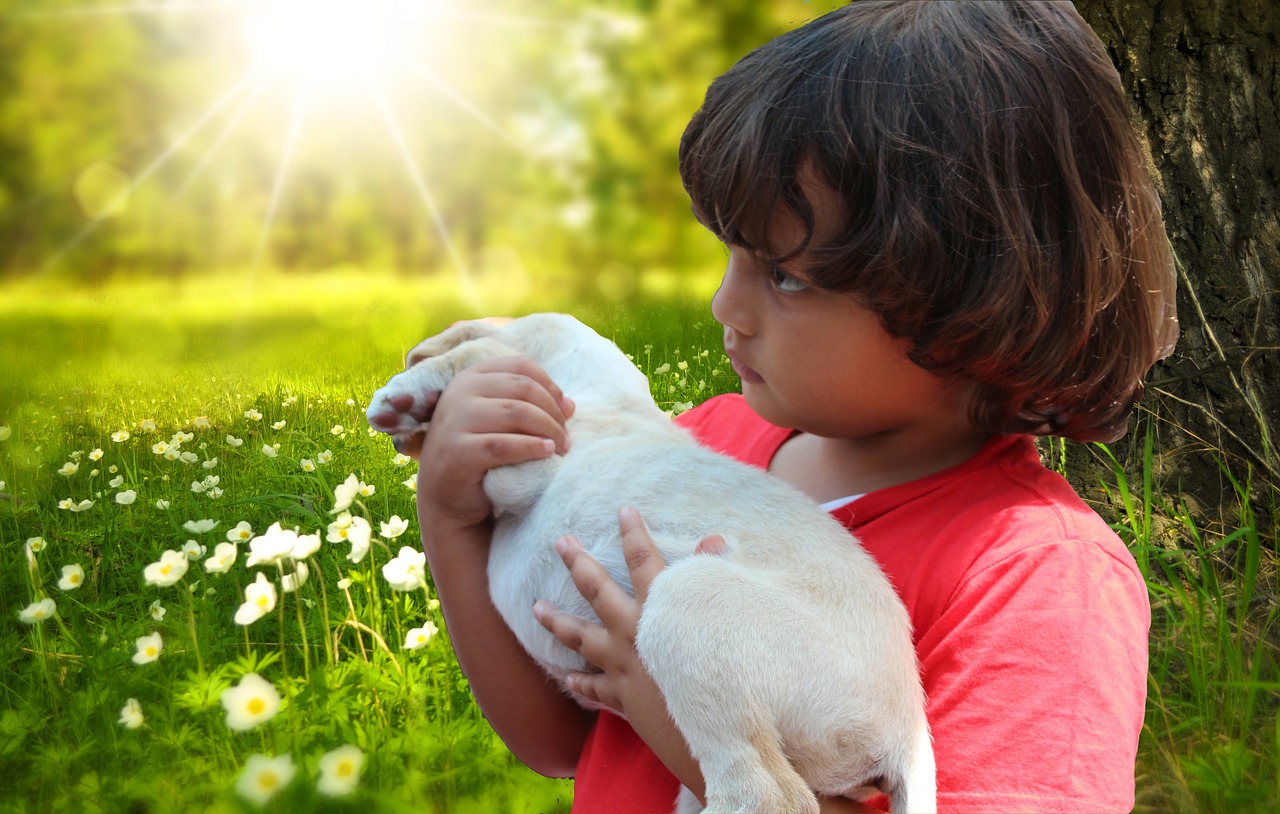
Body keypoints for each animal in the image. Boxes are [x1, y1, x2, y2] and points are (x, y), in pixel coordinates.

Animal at [366, 313, 936, 814]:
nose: (399, 424)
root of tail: (907, 732)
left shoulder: (533, 461)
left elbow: (475, 354)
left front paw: (406, 394)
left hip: (689, 599)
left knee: (769, 797)